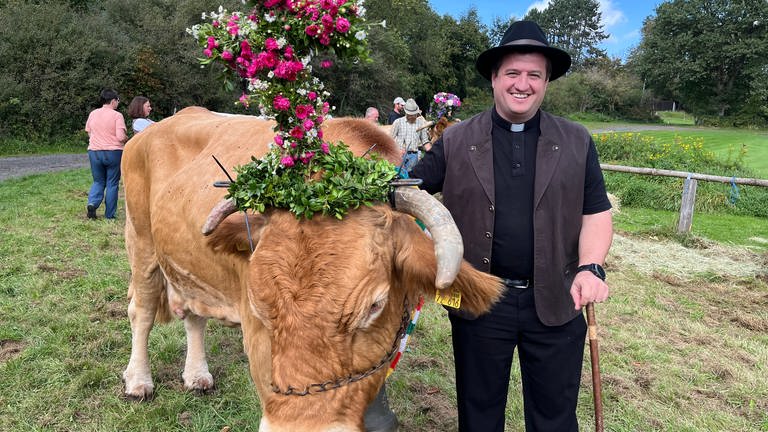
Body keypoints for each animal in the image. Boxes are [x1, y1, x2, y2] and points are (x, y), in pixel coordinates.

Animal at [120, 106, 504, 430]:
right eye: (258, 305)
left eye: (375, 306)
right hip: (141, 243)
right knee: (142, 312)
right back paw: (138, 381)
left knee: (193, 316)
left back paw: (197, 375)